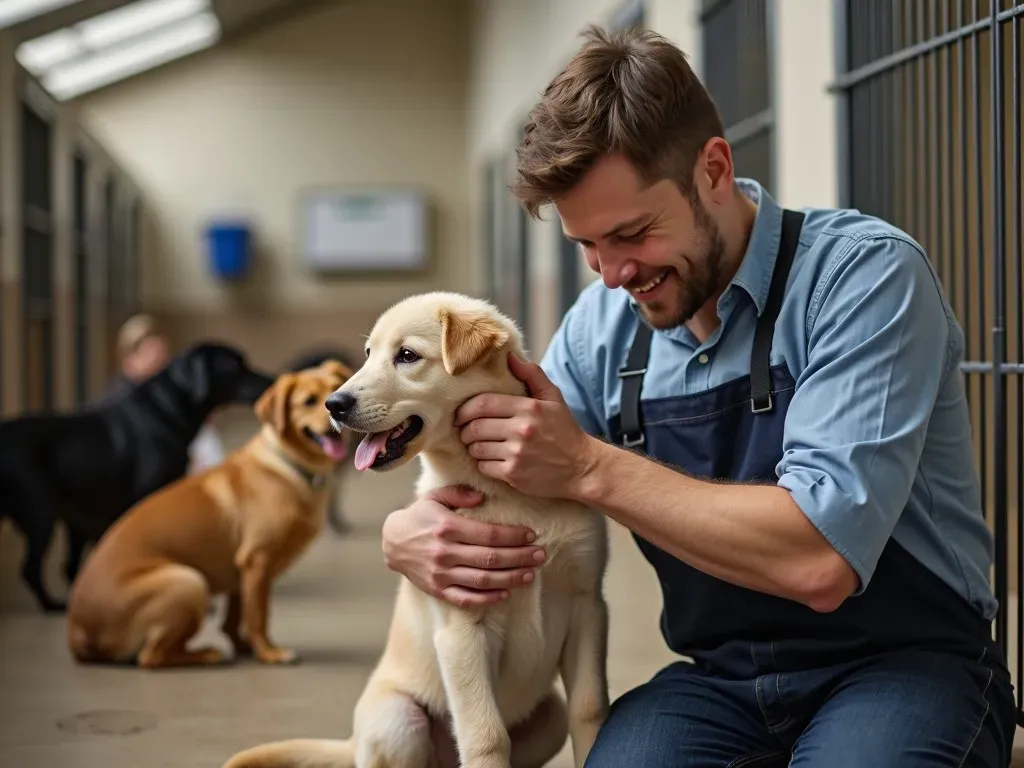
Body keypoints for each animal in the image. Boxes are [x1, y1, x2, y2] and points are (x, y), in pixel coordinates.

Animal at [0, 342, 274, 614]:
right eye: (234, 366)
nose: (271, 380)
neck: (168, 410)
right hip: (41, 513)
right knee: (31, 569)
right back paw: (55, 605)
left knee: (67, 565)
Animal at [67, 360, 356, 667]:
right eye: (309, 401)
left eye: (335, 390)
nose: (335, 412)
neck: (288, 466)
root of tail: (79, 635)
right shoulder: (258, 562)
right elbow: (258, 617)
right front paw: (269, 652)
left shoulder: (241, 574)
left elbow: (234, 620)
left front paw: (246, 648)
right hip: (188, 582)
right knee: (151, 656)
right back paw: (206, 654)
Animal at [222, 290, 606, 768]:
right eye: (368, 354)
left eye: (407, 355)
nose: (334, 404)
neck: (504, 491)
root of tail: (353, 741)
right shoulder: (462, 628)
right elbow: (486, 736)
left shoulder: (587, 606)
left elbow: (589, 711)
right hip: (398, 720)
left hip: (546, 716)